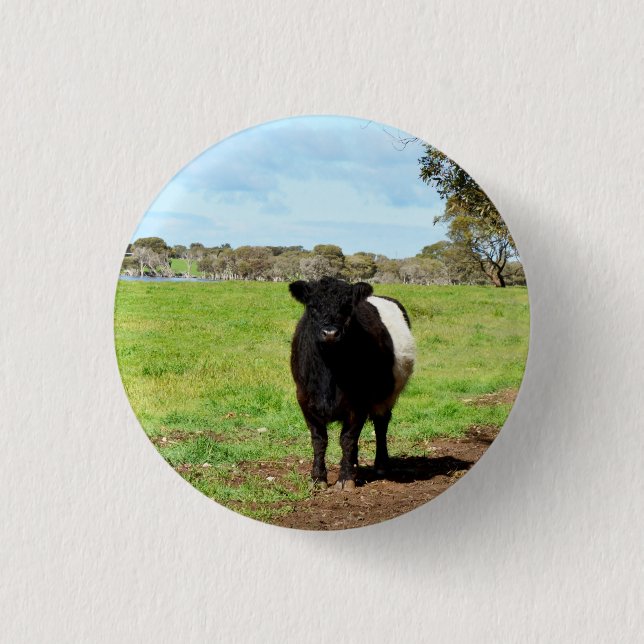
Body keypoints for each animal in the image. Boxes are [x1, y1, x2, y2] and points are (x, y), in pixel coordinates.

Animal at [289, 276, 415, 490]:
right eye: (312, 306)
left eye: (347, 307)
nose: (330, 333)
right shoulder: (304, 399)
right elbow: (319, 439)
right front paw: (318, 478)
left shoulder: (359, 402)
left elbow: (347, 439)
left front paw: (346, 478)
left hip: (388, 395)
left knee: (381, 425)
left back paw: (381, 466)